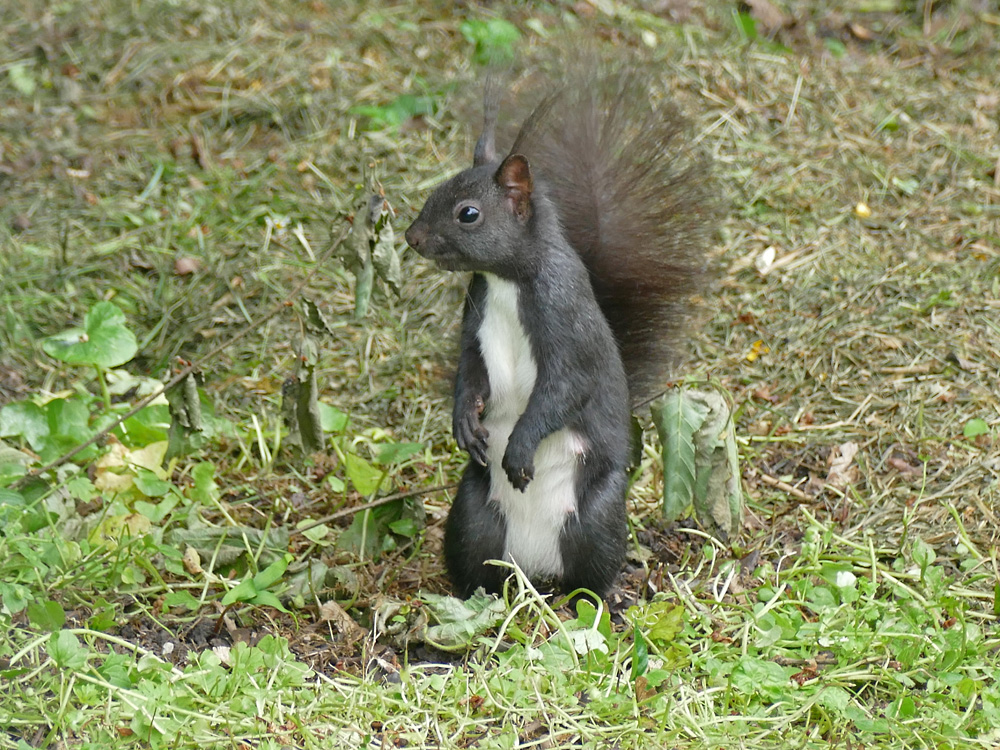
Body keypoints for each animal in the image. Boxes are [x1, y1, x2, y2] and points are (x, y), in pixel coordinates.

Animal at [404, 61, 720, 600]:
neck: (507, 281)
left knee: (590, 575)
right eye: (433, 192)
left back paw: (605, 599)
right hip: (472, 518)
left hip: (596, 520)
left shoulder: (567, 326)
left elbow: (563, 390)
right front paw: (464, 421)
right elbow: (469, 372)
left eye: (468, 214)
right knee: (478, 569)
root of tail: (534, 568)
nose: (412, 237)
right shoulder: (474, 325)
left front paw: (519, 448)